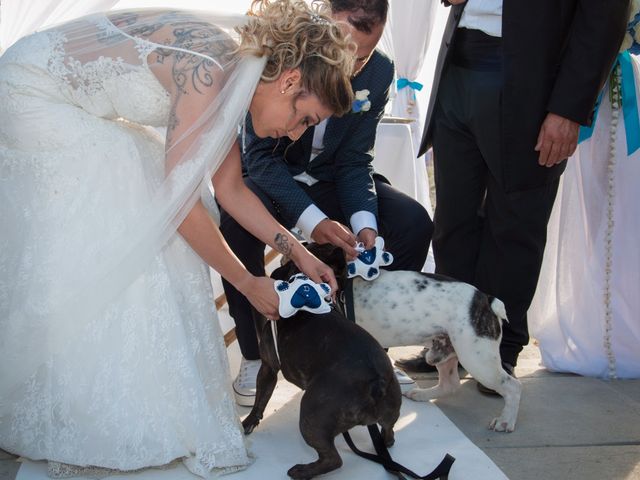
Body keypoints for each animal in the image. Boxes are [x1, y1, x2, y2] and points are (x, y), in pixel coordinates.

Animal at [242, 258, 402, 480]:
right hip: (392, 407)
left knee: (333, 459)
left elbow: (260, 399)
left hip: (312, 416)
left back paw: (302, 471)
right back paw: (388, 443)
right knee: (389, 430)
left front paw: (247, 422)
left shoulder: (268, 368)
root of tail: (375, 382)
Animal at [308, 242, 520, 434]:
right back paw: (423, 394)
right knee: (450, 383)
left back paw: (505, 421)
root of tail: (486, 299)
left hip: (477, 359)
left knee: (512, 387)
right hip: (444, 350)